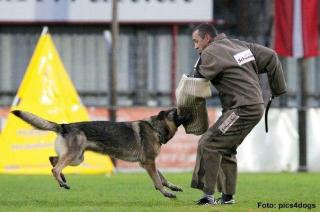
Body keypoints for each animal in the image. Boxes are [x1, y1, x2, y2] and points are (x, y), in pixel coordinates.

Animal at [11, 108, 190, 198]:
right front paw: (166, 193)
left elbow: (162, 177)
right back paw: (62, 183)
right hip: (75, 156)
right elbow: (158, 180)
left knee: (53, 159)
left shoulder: (148, 162)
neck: (155, 127)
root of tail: (64, 126)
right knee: (55, 167)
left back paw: (63, 179)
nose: (190, 111)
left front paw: (172, 187)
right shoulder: (148, 162)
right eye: (177, 111)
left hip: (77, 158)